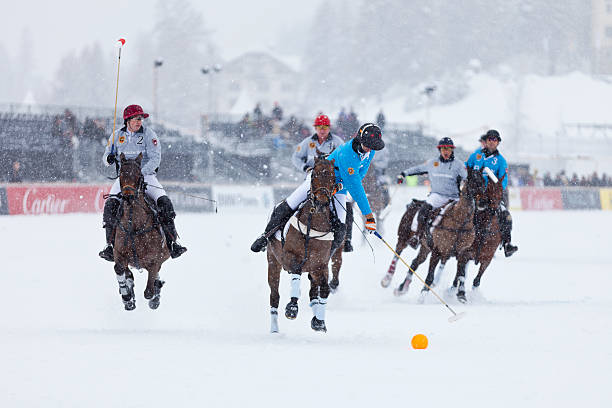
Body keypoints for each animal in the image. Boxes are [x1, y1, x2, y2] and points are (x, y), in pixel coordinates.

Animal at [111, 153, 170, 310]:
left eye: (138, 174)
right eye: (121, 174)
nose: (128, 196)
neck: (134, 225)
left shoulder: (155, 260)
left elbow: (149, 291)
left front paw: (154, 298)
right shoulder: (119, 255)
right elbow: (120, 270)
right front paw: (127, 297)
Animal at [266, 155, 338, 332]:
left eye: (333, 178)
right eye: (313, 176)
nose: (321, 203)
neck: (314, 225)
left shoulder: (320, 265)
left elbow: (324, 289)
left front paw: (319, 321)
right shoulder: (290, 257)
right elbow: (296, 272)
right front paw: (292, 308)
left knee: (313, 292)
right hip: (273, 261)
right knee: (274, 295)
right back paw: (274, 329)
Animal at [380, 167, 486, 302]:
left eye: (484, 182)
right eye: (473, 181)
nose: (483, 202)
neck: (460, 223)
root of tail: (415, 202)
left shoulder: (463, 253)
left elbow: (461, 275)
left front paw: (462, 295)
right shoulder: (437, 251)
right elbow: (430, 276)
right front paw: (422, 296)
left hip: (425, 247)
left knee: (415, 262)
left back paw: (402, 288)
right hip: (403, 237)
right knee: (397, 254)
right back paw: (387, 279)